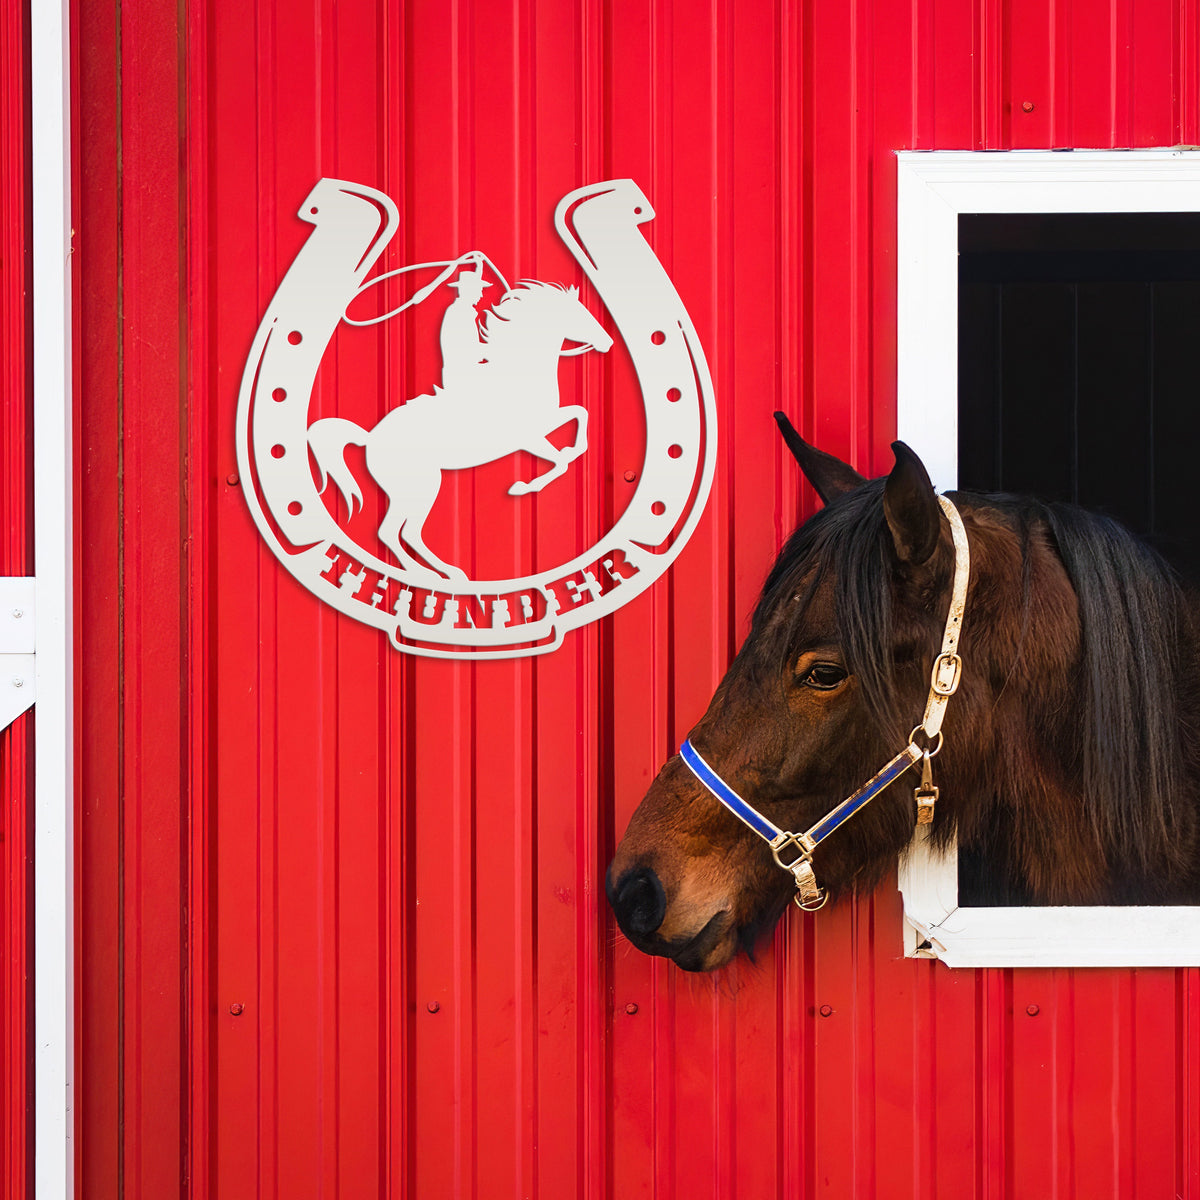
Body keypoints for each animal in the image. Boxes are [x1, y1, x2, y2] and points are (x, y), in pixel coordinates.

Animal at [309, 280, 612, 581]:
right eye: (577, 314)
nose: (608, 342)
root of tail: (369, 439)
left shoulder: (542, 426)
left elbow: (579, 414)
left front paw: (569, 451)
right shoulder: (528, 437)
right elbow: (562, 459)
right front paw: (522, 487)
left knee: (401, 532)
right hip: (420, 487)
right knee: (397, 531)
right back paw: (435, 574)